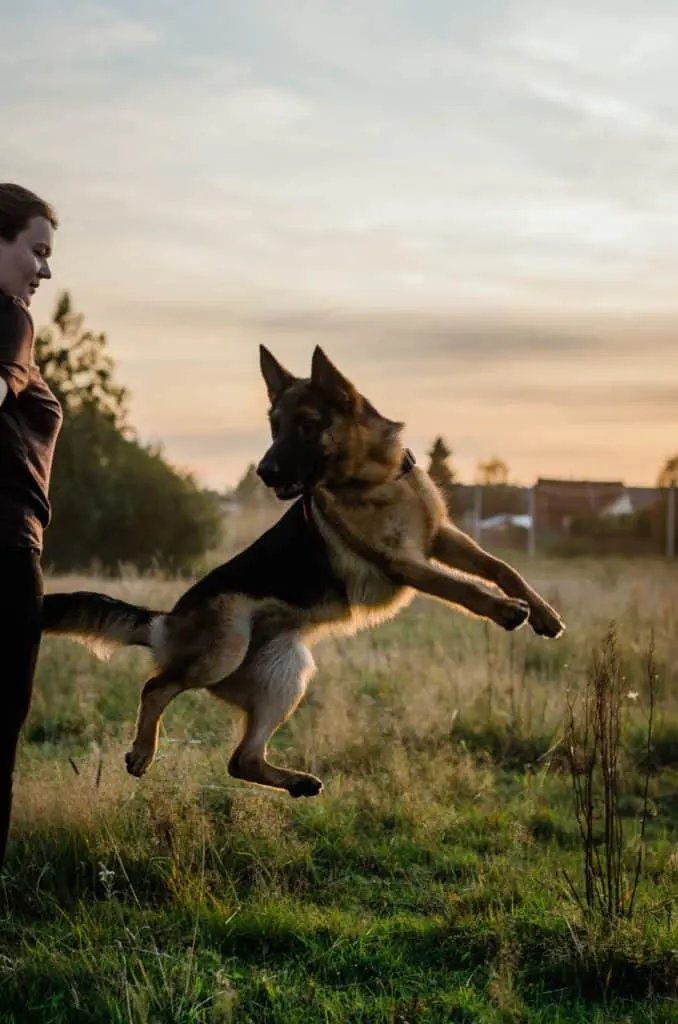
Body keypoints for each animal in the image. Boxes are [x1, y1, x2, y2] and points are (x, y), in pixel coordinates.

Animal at [39, 348, 565, 794]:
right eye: (275, 427)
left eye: (307, 425)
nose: (264, 472)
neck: (377, 478)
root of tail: (166, 619)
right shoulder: (406, 563)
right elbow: (462, 588)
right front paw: (505, 610)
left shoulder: (440, 539)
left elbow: (502, 567)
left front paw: (542, 613)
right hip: (226, 649)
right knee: (156, 686)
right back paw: (142, 752)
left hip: (286, 675)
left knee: (241, 760)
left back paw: (296, 782)